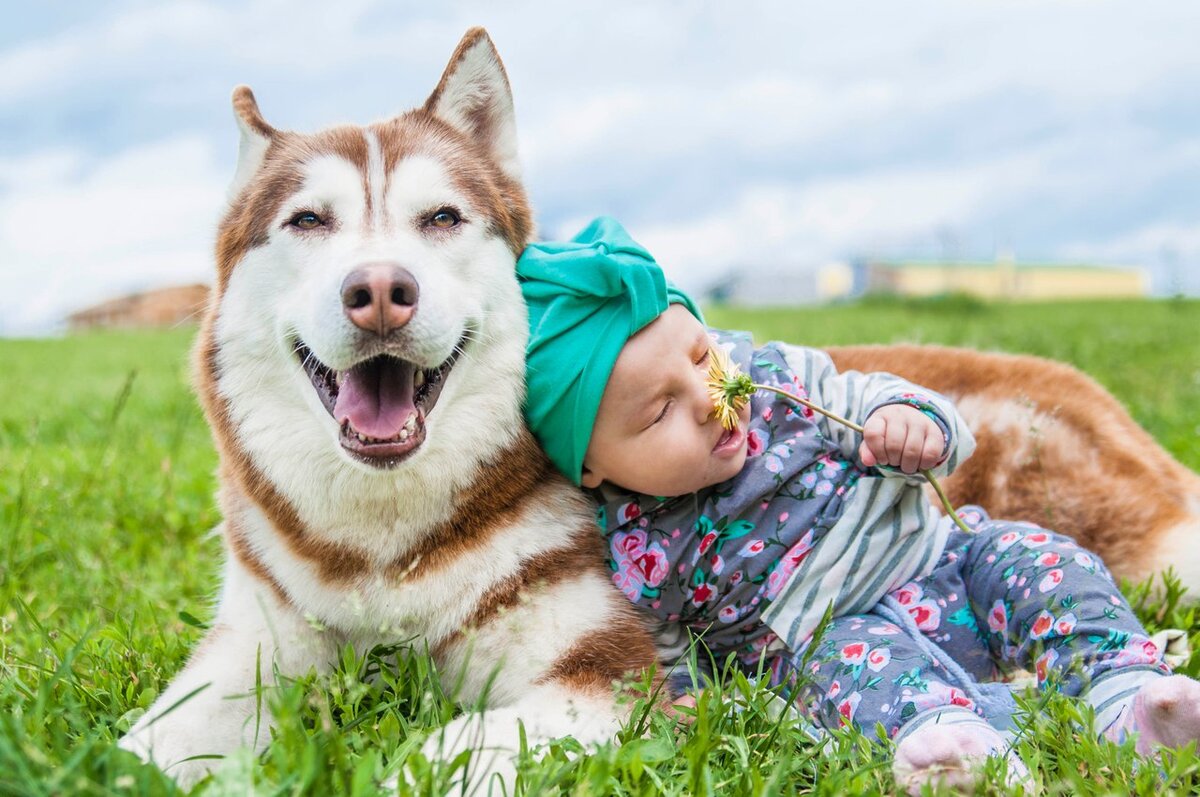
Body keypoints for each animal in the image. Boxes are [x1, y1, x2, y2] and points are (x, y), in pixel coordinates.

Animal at [119, 28, 657, 787]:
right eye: (308, 219)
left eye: (443, 217)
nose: (377, 289)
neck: (383, 553)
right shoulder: (254, 642)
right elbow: (144, 744)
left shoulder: (608, 671)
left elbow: (457, 746)